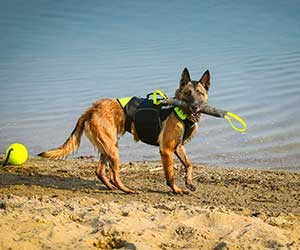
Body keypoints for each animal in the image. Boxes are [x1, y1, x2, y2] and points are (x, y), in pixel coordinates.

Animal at [38, 69, 210, 195]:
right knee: (114, 175)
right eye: (187, 93)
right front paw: (176, 190)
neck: (179, 111)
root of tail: (91, 109)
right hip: (113, 149)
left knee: (100, 171)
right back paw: (127, 190)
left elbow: (189, 164)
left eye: (200, 94)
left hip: (108, 146)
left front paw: (189, 182)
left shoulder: (178, 147)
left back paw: (111, 187)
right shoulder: (166, 149)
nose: (195, 106)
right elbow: (170, 174)